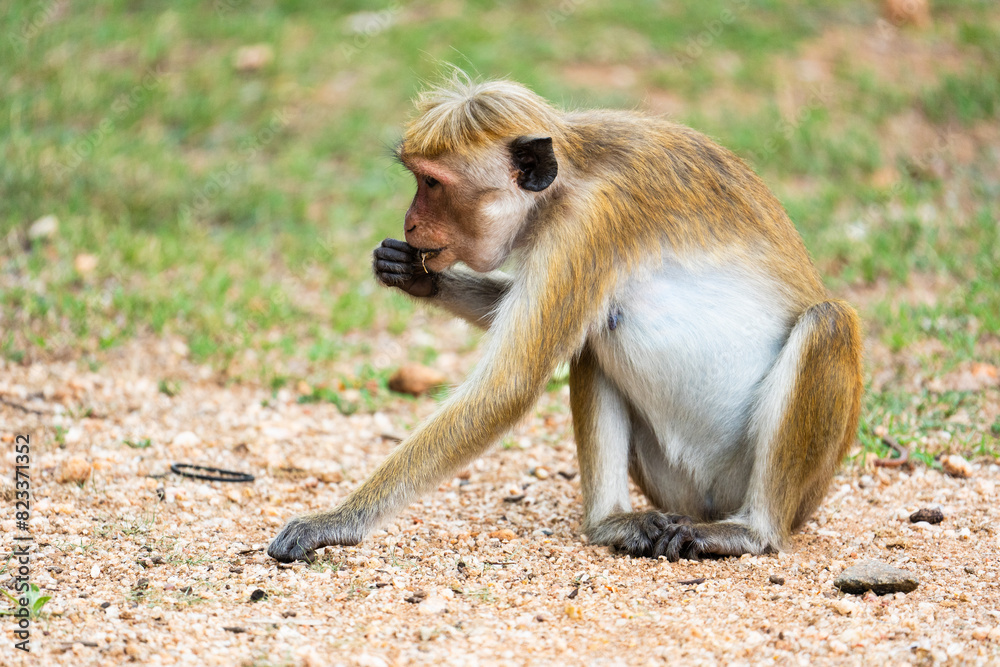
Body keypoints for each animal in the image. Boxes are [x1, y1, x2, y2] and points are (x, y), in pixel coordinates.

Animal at [267, 74, 863, 564]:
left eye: (432, 184)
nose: (411, 223)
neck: (567, 182)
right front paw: (417, 276)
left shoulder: (587, 224)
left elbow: (508, 385)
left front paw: (336, 522)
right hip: (671, 482)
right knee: (596, 337)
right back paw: (610, 523)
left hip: (788, 488)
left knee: (828, 323)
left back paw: (752, 532)